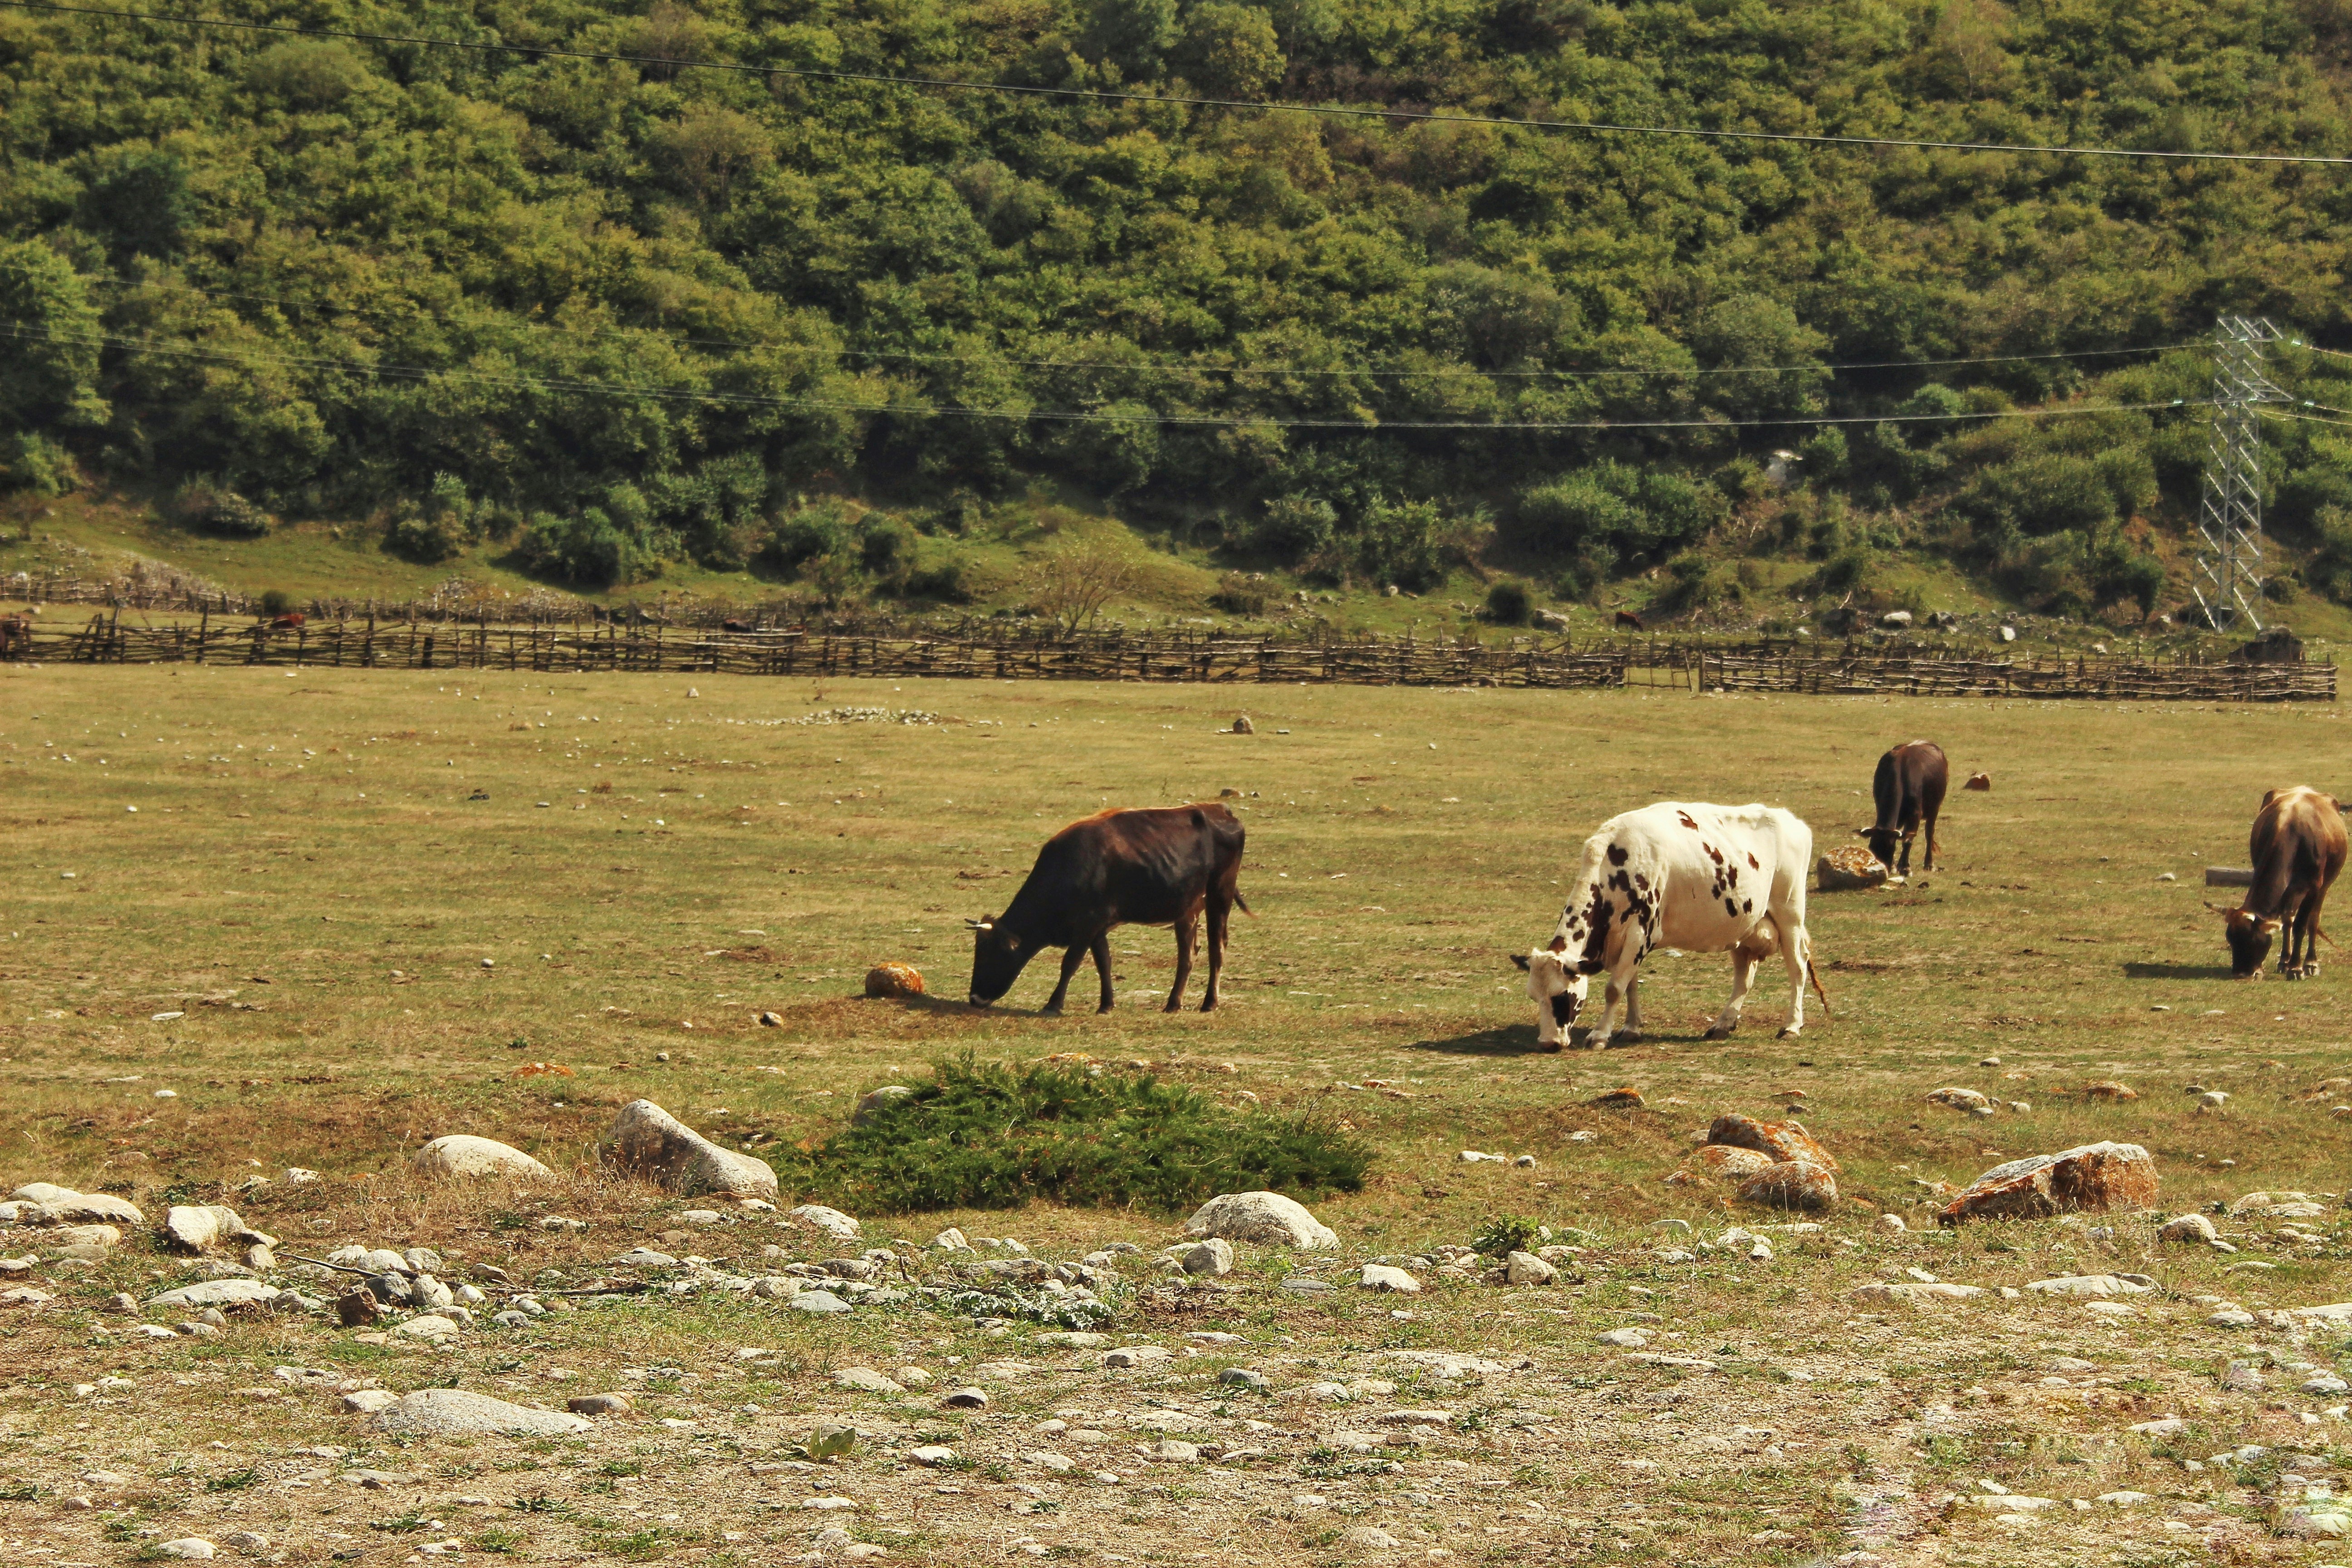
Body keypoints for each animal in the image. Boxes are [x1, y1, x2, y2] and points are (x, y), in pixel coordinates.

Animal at [968, 803, 1247, 1015]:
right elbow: (1104, 962)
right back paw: (1173, 1004)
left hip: (1220, 894)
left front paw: (1054, 1004)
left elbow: (1071, 962)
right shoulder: (1098, 926)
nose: (974, 998)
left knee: (1217, 946)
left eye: (989, 954)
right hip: (1188, 908)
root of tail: (1219, 809)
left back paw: (1209, 1003)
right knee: (1188, 953)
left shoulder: (1088, 923)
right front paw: (1106, 1005)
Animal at [1511, 802, 1828, 1049]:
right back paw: (1723, 1024)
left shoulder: (1640, 933)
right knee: (1744, 976)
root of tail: (1791, 819)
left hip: (1790, 914)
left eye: (1561, 997)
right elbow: (1630, 985)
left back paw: (1791, 1026)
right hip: (1743, 924)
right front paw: (1631, 1028)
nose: (1549, 1043)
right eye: (1534, 996)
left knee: (1798, 967)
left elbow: (1615, 988)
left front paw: (1600, 1035)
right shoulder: (1627, 941)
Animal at [1860, 740, 1948, 878]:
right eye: (1871, 848)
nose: (1884, 870)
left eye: (1891, 848)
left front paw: (1906, 868)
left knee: (1929, 834)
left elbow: (1907, 840)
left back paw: (1929, 864)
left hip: (1935, 809)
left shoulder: (1915, 814)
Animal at [2209, 786, 2347, 979]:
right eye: (2230, 938)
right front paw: (2283, 964)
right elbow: (2288, 922)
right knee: (2287, 919)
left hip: (2324, 886)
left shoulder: (2313, 888)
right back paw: (2284, 961)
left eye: (2254, 940)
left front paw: (2296, 968)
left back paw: (2310, 963)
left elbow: (2302, 925)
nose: (2240, 974)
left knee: (2313, 920)